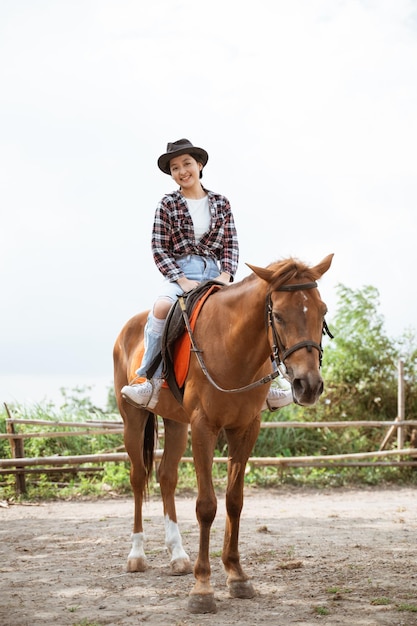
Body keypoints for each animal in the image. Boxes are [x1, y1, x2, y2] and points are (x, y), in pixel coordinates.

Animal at [113, 252, 332, 608]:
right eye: (278, 315)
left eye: (321, 311)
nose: (308, 385)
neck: (234, 348)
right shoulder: (204, 427)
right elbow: (206, 505)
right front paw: (202, 589)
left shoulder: (245, 429)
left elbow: (234, 501)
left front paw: (237, 575)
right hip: (133, 418)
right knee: (137, 477)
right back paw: (136, 555)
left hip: (176, 424)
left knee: (166, 477)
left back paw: (178, 556)